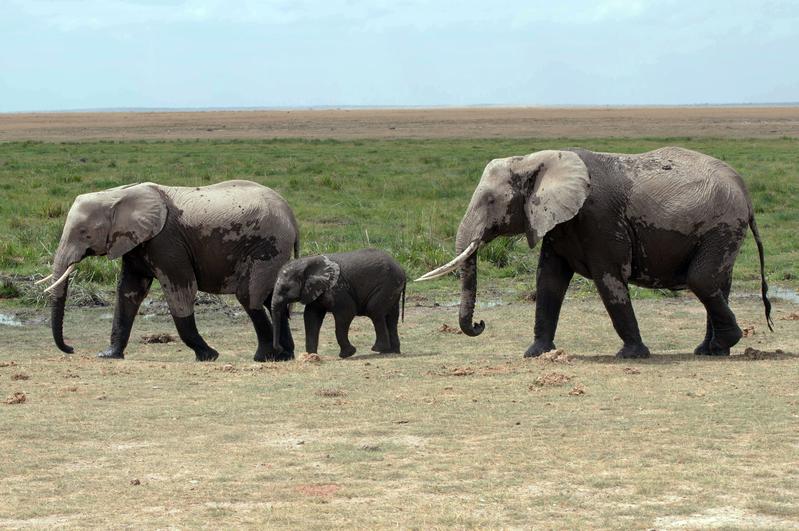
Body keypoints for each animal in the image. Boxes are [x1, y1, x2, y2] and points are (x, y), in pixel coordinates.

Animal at [39, 180, 300, 362]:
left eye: (84, 233)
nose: (71, 349)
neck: (117, 194)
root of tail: (291, 215)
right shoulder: (136, 242)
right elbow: (129, 292)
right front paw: (108, 355)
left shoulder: (166, 242)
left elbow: (180, 290)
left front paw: (208, 356)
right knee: (270, 297)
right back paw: (285, 356)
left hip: (268, 244)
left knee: (249, 296)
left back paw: (263, 357)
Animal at [272, 248, 406, 358]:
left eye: (284, 289)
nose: (279, 349)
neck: (307, 263)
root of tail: (402, 269)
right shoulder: (317, 290)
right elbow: (311, 317)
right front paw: (312, 356)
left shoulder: (337, 288)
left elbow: (346, 313)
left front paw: (347, 354)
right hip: (393, 287)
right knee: (392, 317)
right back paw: (392, 351)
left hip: (387, 285)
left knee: (374, 311)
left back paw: (378, 349)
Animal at [418, 148, 776, 360]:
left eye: (491, 201)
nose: (480, 324)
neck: (538, 161)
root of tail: (743, 188)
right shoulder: (559, 223)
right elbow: (548, 282)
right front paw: (535, 353)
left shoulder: (599, 220)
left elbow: (609, 281)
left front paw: (631, 355)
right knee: (716, 283)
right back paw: (710, 350)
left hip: (722, 226)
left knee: (701, 280)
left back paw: (724, 344)